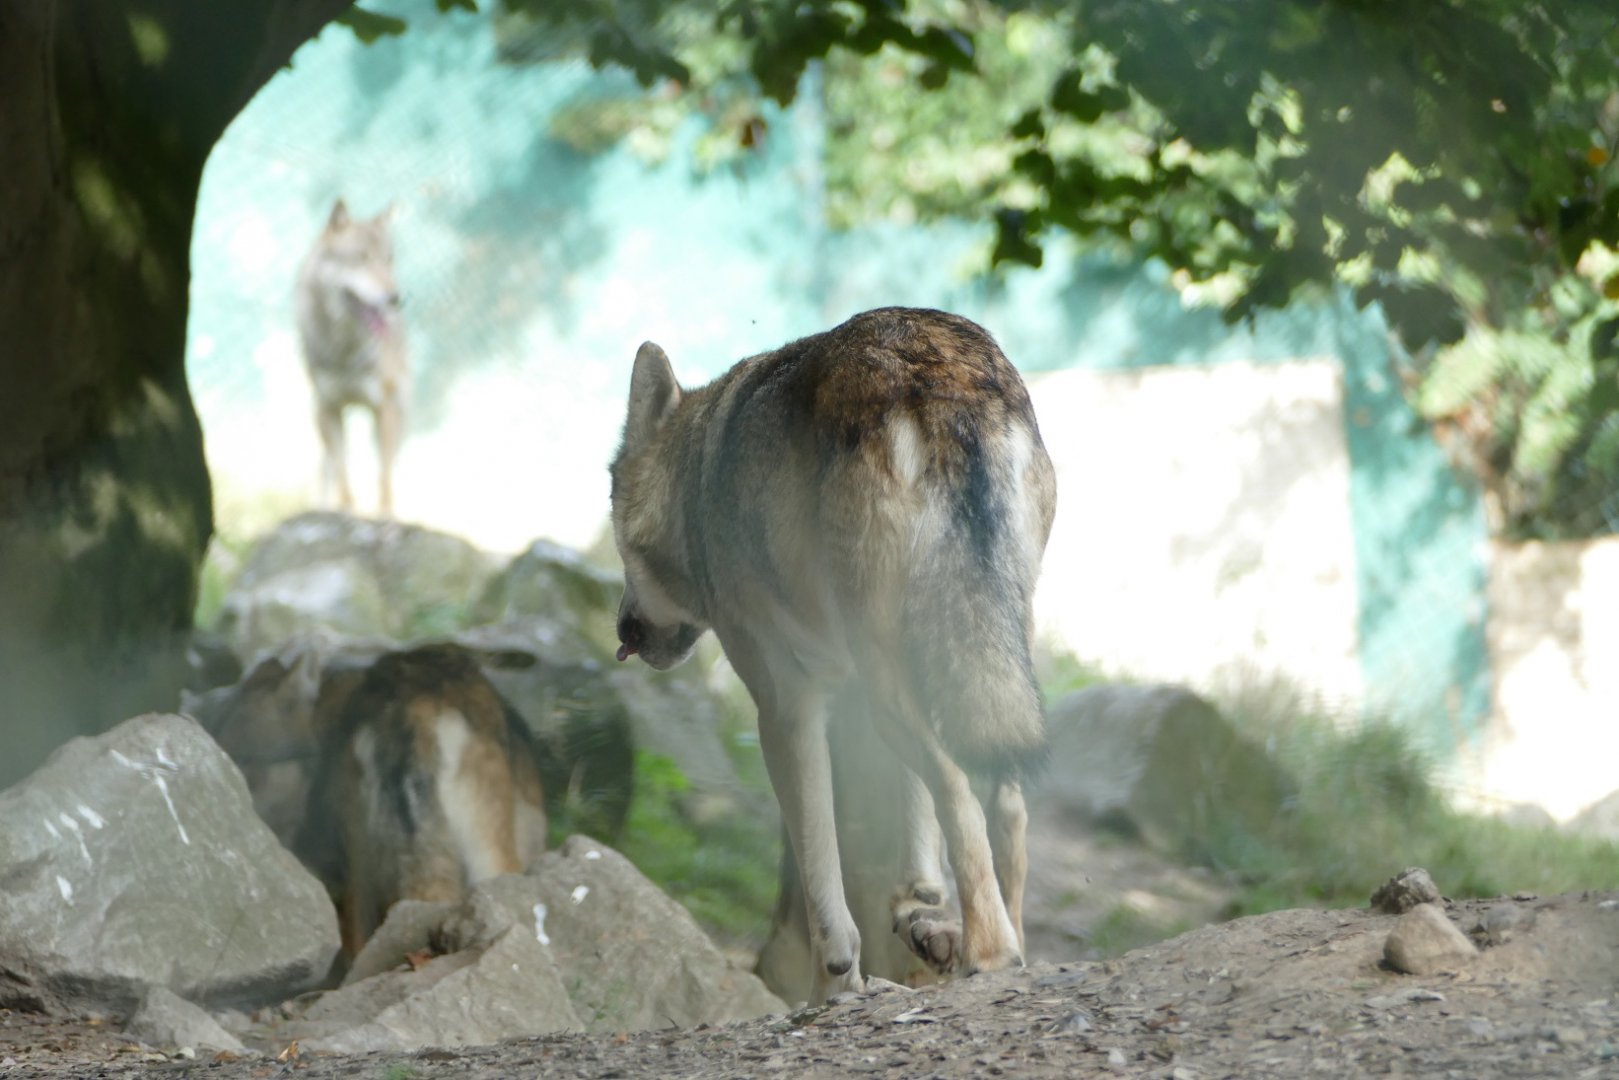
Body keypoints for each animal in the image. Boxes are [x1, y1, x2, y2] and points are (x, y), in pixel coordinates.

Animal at [295, 199, 408, 517]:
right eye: (361, 258)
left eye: (388, 260)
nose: (395, 298)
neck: (343, 348)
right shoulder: (328, 408)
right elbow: (343, 472)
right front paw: (345, 511)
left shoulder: (384, 407)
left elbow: (384, 475)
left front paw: (385, 514)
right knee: (328, 470)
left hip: (397, 415)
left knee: (392, 463)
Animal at [609, 306, 1057, 1002]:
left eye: (617, 539)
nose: (622, 629)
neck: (697, 481)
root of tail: (936, 378)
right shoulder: (848, 695)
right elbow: (910, 813)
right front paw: (920, 905)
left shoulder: (786, 711)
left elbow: (823, 884)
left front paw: (833, 990)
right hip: (983, 662)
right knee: (1005, 802)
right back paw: (1012, 948)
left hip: (893, 680)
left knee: (958, 786)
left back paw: (991, 956)